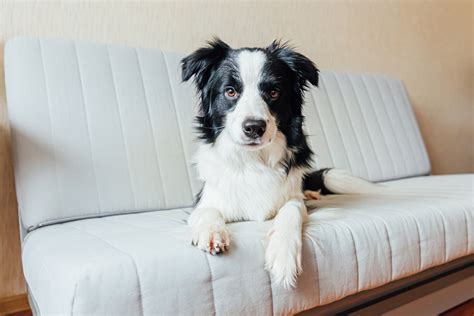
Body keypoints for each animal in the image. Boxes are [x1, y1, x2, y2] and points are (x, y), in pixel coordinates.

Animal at [180, 39, 380, 288]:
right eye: (230, 91)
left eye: (274, 92)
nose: (254, 127)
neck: (253, 160)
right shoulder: (205, 200)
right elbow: (207, 211)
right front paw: (211, 232)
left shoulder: (292, 197)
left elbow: (291, 211)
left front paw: (283, 255)